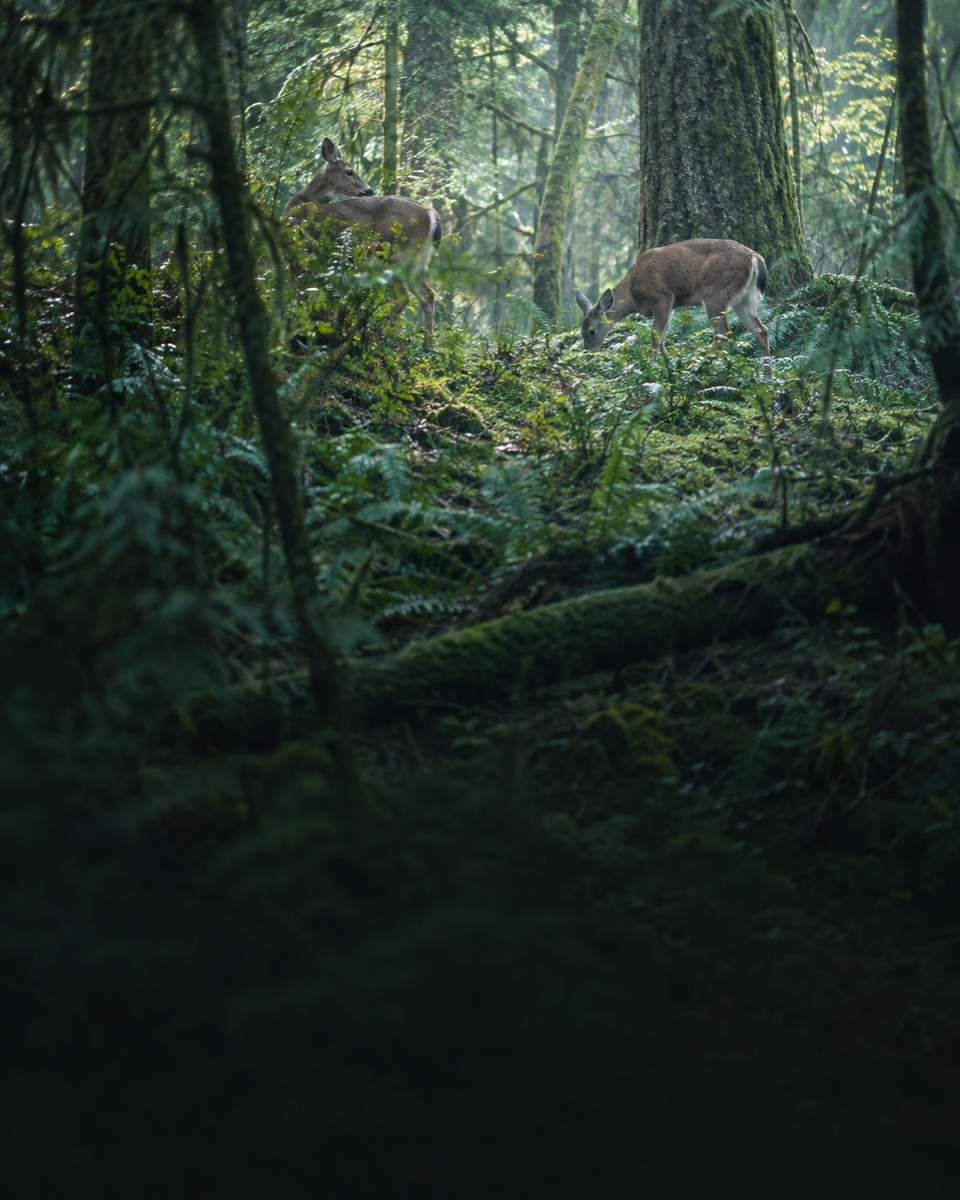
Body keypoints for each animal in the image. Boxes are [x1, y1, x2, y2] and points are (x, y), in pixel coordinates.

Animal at [283, 137, 442, 344]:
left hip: (393, 253)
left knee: (404, 298)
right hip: (417, 261)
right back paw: (426, 344)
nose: (369, 189)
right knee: (428, 295)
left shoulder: (302, 255)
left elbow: (298, 294)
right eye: (349, 171)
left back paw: (367, 334)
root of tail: (430, 213)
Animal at [574, 238, 772, 377]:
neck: (633, 294)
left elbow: (655, 336)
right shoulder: (671, 305)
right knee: (762, 330)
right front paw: (669, 364)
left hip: (714, 291)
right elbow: (663, 338)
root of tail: (755, 258)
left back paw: (700, 367)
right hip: (743, 298)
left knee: (722, 333)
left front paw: (651, 368)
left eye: (591, 331)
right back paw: (768, 377)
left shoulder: (662, 296)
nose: (587, 353)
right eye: (581, 332)